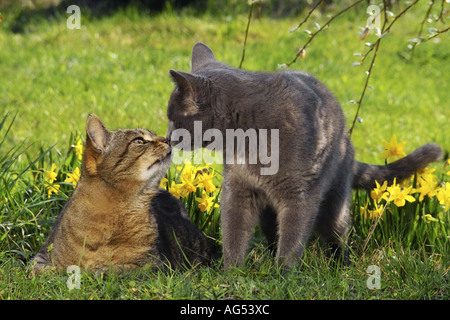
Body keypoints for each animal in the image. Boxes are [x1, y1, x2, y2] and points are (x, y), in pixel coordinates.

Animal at [30, 114, 217, 274]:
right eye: (139, 141)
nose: (167, 139)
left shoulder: (156, 265)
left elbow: (115, 269)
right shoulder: (40, 258)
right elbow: (43, 270)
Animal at [166, 41, 442, 268]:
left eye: (173, 119)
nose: (167, 137)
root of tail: (349, 146)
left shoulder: (299, 193)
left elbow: (293, 237)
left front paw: (283, 275)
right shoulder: (239, 188)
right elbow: (234, 231)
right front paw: (231, 273)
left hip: (334, 199)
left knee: (337, 232)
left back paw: (340, 266)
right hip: (268, 211)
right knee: (272, 232)